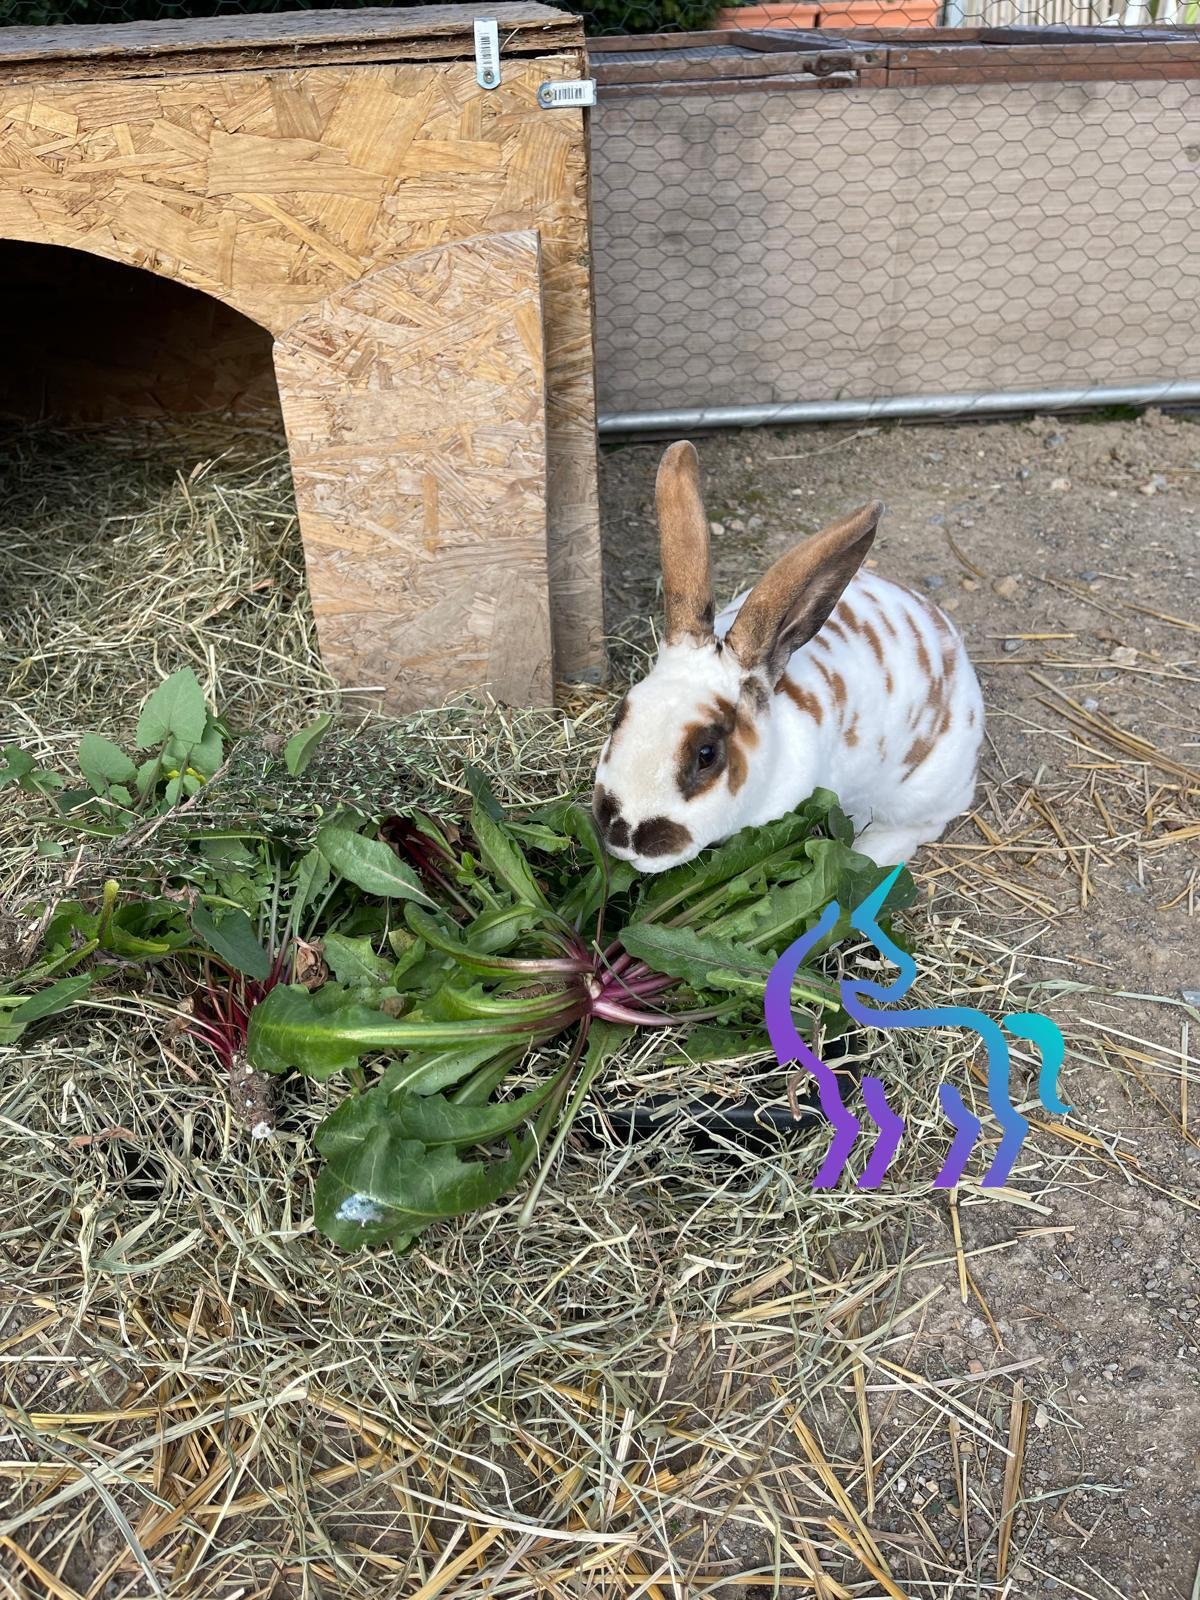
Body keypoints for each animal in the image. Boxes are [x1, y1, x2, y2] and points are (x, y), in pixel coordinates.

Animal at [592, 440, 984, 873]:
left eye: (707, 755)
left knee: (920, 826)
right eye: (617, 717)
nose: (624, 835)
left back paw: (871, 852)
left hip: (918, 794)